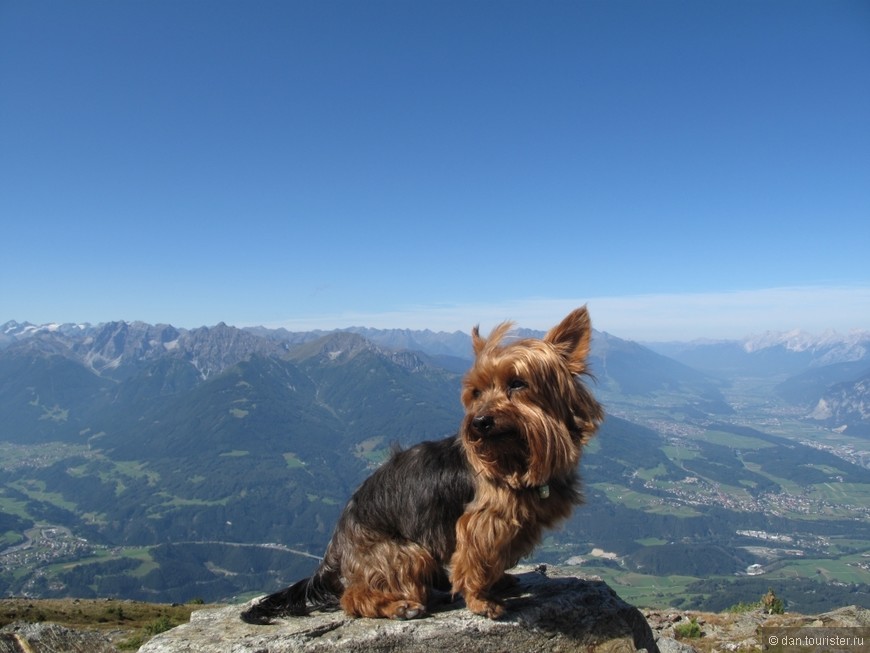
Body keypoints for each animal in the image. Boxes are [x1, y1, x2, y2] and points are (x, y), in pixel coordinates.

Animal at [242, 306, 604, 620]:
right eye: (476, 392)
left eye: (517, 383)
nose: (479, 423)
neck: (519, 455)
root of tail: (336, 543)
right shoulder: (480, 524)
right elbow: (474, 558)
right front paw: (480, 600)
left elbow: (494, 560)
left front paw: (498, 582)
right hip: (404, 553)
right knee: (354, 596)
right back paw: (398, 605)